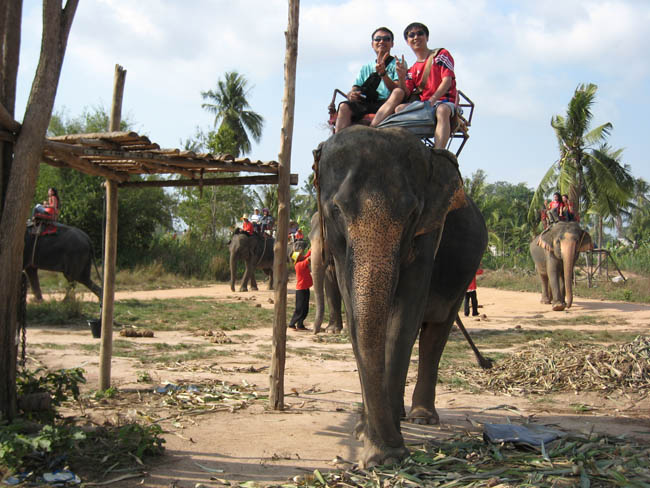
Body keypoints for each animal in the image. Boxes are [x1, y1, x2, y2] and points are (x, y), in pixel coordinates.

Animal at [314, 127, 486, 468]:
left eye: (413, 214)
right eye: (337, 210)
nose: (387, 455)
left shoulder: (429, 232)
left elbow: (404, 319)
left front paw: (383, 447)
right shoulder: (338, 246)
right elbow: (356, 313)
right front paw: (363, 433)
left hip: (464, 277)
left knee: (435, 332)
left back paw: (421, 417)